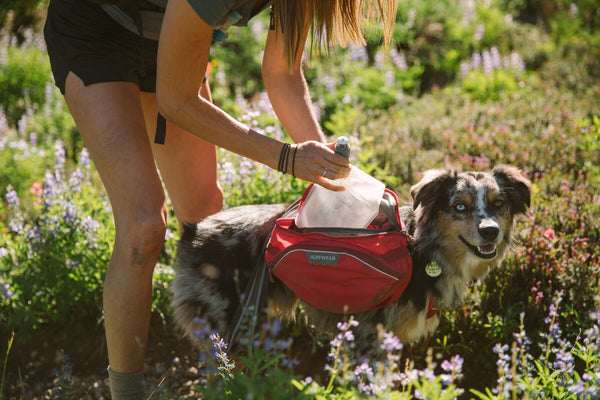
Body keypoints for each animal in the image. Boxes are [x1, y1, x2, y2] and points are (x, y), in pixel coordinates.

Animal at [169, 166, 528, 354]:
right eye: (460, 206)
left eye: (498, 204)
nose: (490, 232)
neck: (421, 248)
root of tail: (192, 229)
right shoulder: (373, 336)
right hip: (228, 320)